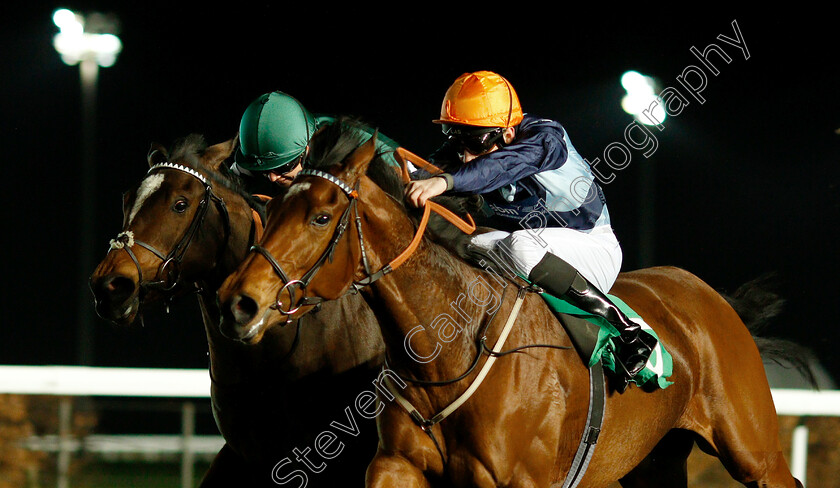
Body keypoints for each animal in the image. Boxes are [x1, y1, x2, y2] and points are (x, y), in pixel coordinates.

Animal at [217, 127, 808, 488]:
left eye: (321, 216)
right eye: (271, 208)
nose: (238, 302)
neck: (453, 351)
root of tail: (710, 297)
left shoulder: (519, 480)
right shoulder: (396, 464)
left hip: (752, 449)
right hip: (655, 460)